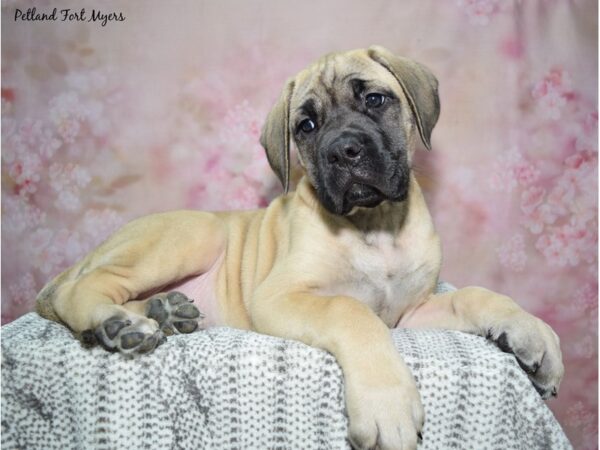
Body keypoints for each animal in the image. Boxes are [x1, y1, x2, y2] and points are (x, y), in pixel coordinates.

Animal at [36, 45, 564, 450]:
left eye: (375, 100)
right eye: (305, 127)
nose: (343, 151)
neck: (375, 227)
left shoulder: (410, 313)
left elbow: (473, 296)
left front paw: (531, 333)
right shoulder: (280, 296)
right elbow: (350, 311)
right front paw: (388, 403)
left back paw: (164, 312)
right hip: (190, 236)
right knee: (83, 289)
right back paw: (117, 323)